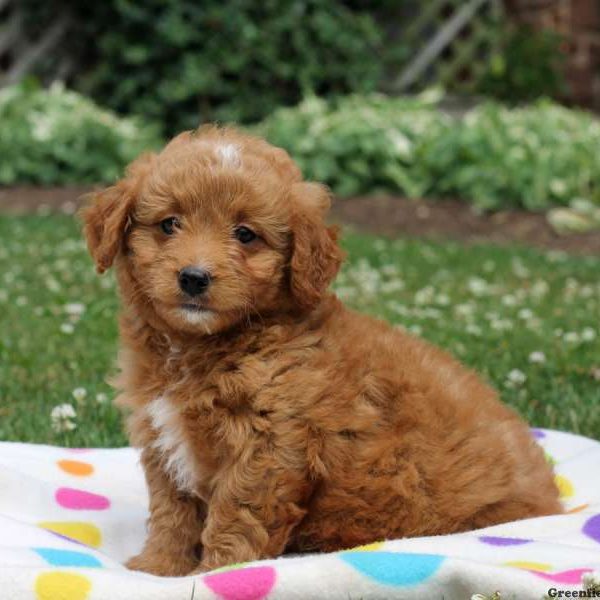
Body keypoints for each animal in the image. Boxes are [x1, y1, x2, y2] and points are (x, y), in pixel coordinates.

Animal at [82, 126, 560, 576]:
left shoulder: (268, 447)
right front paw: (158, 568)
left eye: (245, 234)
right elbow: (172, 512)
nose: (194, 277)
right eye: (168, 224)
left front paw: (218, 572)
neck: (205, 347)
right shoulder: (161, 436)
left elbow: (237, 515)